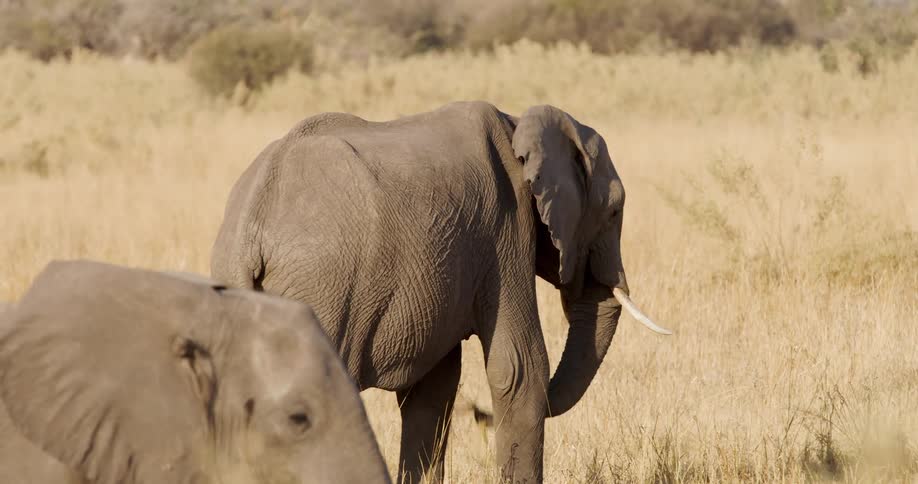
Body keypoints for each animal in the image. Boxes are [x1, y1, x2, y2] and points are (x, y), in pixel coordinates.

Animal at [211, 101, 672, 483]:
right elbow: (519, 369)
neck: (519, 122)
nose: (479, 415)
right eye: (614, 210)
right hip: (323, 290)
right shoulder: (504, 233)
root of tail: (251, 224)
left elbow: (433, 388)